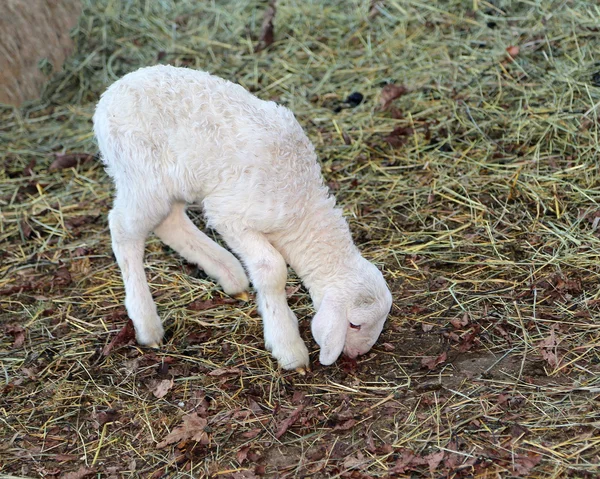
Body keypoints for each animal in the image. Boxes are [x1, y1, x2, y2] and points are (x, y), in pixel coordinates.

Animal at [92, 64, 394, 372]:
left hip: (173, 181)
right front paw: (288, 347)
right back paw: (147, 324)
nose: (357, 354)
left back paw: (229, 274)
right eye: (355, 324)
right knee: (123, 228)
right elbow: (272, 269)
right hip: (140, 174)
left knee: (170, 222)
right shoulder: (231, 216)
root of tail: (110, 94)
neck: (301, 201)